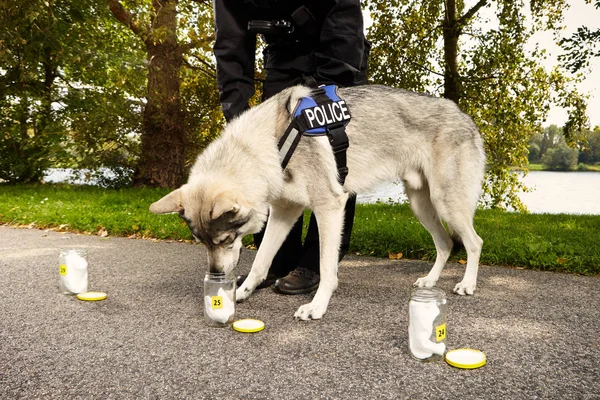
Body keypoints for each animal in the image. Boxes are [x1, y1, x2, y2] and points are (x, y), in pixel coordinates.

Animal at [149, 83, 482, 318]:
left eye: (226, 239)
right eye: (202, 243)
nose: (216, 275)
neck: (272, 143)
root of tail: (465, 115)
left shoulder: (329, 208)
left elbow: (326, 266)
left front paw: (317, 306)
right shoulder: (284, 213)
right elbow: (260, 262)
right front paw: (242, 291)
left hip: (445, 203)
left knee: (473, 242)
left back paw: (467, 284)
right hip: (422, 206)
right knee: (446, 243)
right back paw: (430, 281)